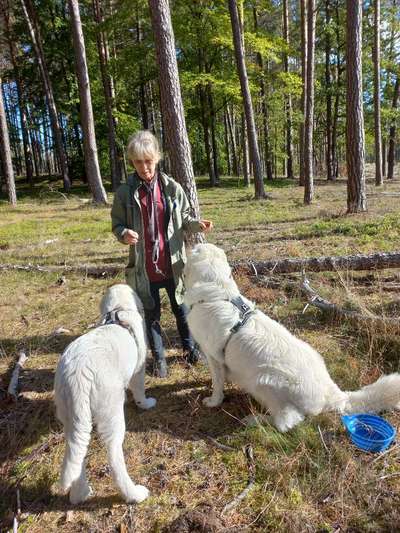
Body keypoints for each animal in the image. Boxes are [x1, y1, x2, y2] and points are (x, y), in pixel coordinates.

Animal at [55, 282, 155, 502]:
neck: (117, 311)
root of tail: (78, 375)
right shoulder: (139, 369)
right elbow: (139, 389)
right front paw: (146, 404)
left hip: (71, 417)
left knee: (77, 453)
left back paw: (80, 494)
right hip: (111, 412)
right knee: (114, 455)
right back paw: (134, 494)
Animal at [184, 243, 400, 430]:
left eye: (195, 248)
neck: (217, 293)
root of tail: (332, 394)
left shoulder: (213, 355)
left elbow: (217, 383)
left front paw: (213, 401)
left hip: (263, 380)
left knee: (287, 421)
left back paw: (256, 420)